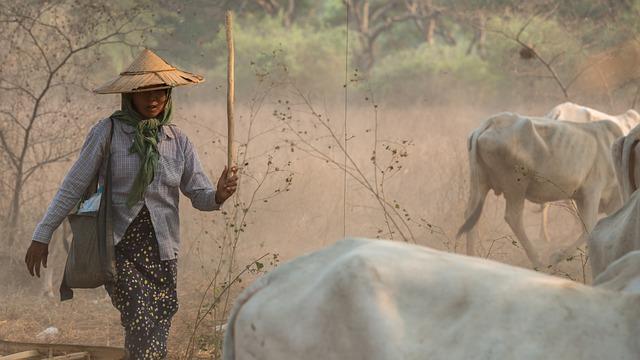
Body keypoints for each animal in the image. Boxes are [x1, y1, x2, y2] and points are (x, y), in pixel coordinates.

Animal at [458, 112, 624, 268]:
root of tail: (491, 122)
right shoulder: (592, 190)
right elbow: (589, 226)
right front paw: (557, 256)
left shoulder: (585, 198)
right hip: (515, 185)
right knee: (513, 217)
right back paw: (538, 261)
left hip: (479, 183)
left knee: (470, 216)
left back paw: (471, 256)